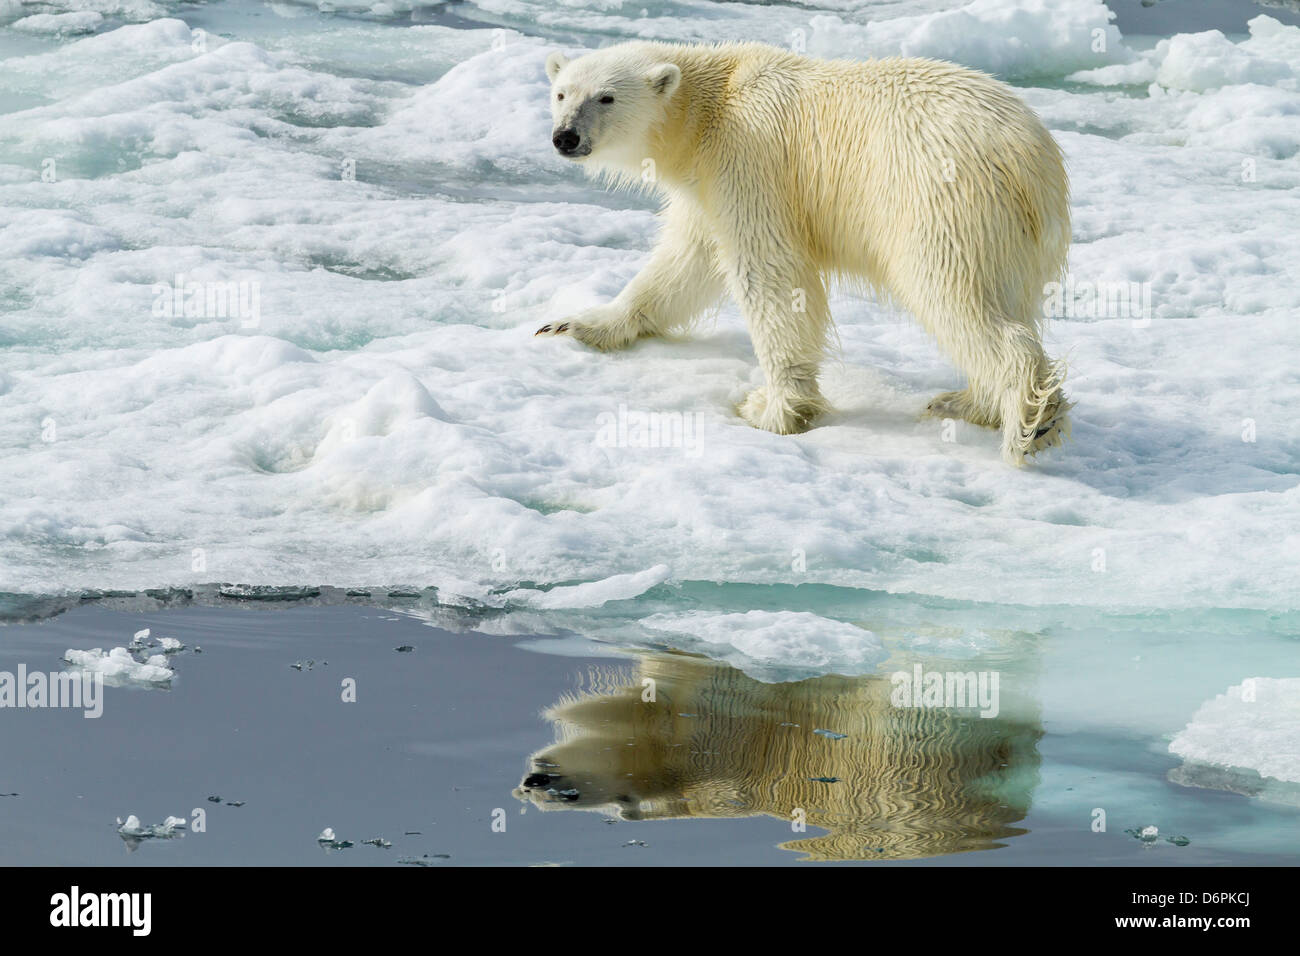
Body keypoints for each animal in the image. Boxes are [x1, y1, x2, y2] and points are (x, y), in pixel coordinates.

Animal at [533, 42, 1071, 465]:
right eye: (561, 93)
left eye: (606, 97)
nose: (566, 137)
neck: (709, 106)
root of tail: (1031, 160)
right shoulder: (707, 185)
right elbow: (685, 260)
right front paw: (574, 324)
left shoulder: (748, 158)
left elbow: (768, 271)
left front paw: (772, 410)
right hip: (1016, 237)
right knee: (1004, 300)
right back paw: (967, 403)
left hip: (942, 201)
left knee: (954, 295)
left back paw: (1029, 419)